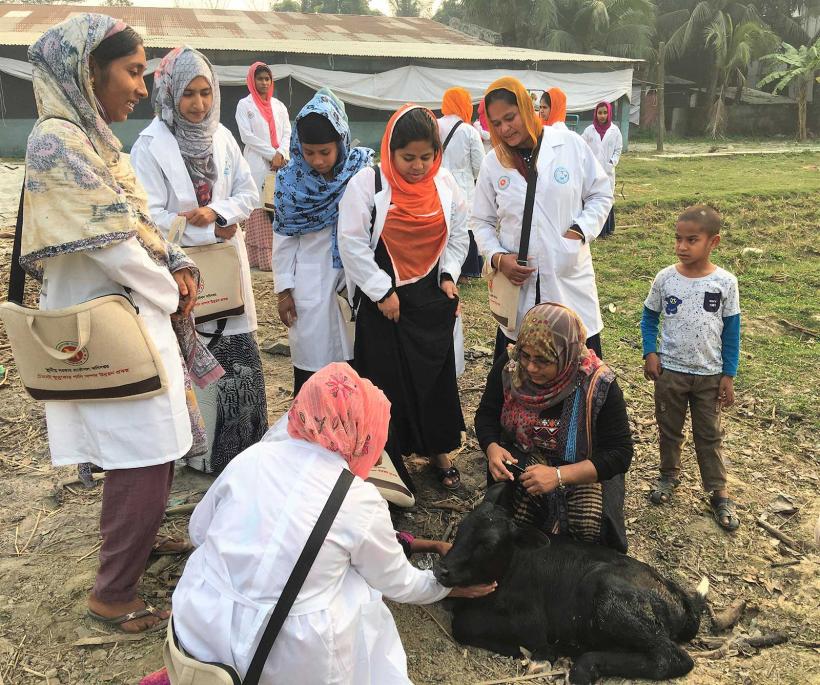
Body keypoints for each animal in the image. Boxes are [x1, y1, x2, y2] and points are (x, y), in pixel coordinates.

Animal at [436, 486, 712, 684]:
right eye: (461, 528)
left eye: (488, 545)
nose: (441, 570)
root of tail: (672, 590)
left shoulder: (531, 626)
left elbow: (462, 626)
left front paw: (541, 654)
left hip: (610, 596)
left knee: (673, 658)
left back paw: (584, 667)